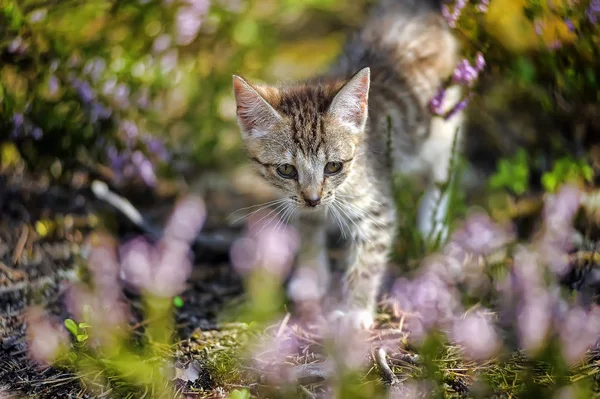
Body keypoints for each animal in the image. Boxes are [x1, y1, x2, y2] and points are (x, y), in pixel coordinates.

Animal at [233, 0, 464, 332]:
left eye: (333, 166)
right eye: (286, 170)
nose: (313, 198)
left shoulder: (377, 210)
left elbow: (368, 260)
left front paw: (355, 309)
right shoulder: (296, 201)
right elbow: (307, 226)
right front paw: (310, 276)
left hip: (445, 126)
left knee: (442, 172)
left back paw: (433, 224)